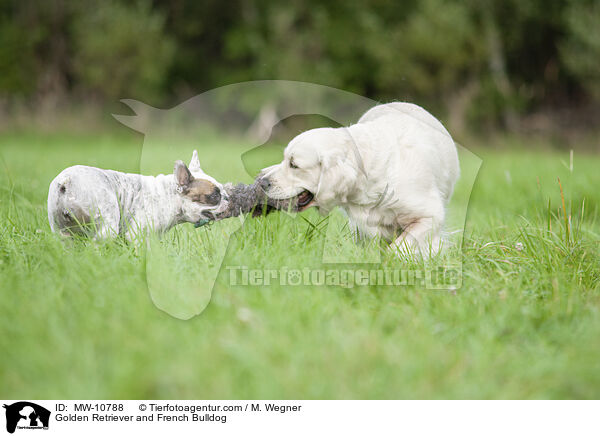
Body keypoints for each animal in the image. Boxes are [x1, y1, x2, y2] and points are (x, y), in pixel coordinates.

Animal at [47, 149, 227, 238]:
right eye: (214, 196)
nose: (228, 198)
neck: (169, 196)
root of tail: (67, 181)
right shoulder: (137, 236)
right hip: (107, 226)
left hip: (62, 232)